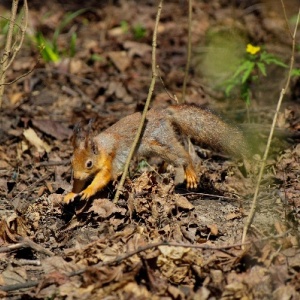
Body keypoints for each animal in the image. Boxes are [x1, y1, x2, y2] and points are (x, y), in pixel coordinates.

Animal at [63, 103, 248, 204]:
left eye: (89, 163)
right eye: (71, 162)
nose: (76, 175)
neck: (101, 148)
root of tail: (164, 113)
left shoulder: (110, 160)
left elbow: (103, 178)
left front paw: (88, 191)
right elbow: (79, 183)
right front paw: (72, 193)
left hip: (160, 141)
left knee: (184, 156)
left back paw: (189, 171)